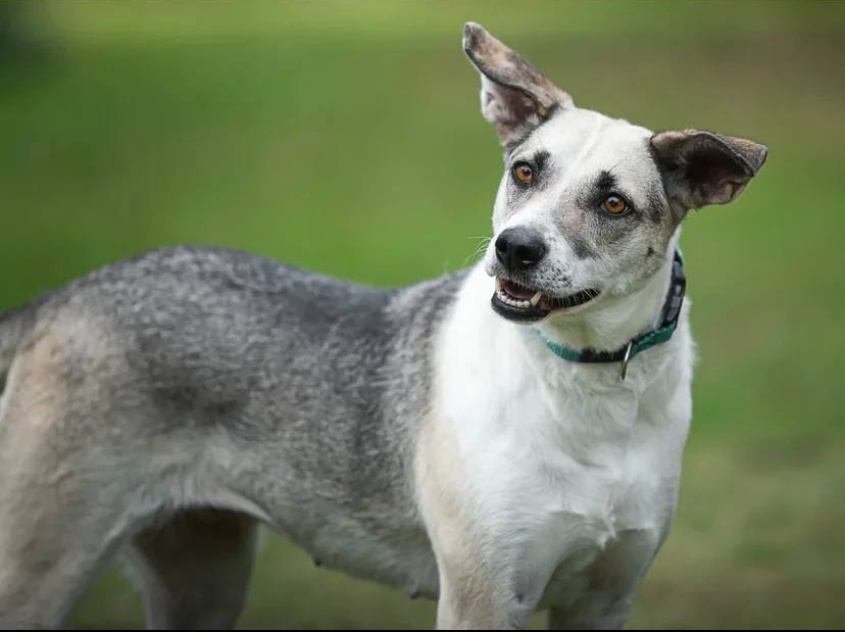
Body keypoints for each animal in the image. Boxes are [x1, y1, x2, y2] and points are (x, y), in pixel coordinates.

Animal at [0, 22, 764, 628]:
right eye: (524, 172)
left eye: (612, 204)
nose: (514, 248)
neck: (588, 386)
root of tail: (63, 298)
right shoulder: (484, 599)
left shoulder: (603, 600)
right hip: (40, 565)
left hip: (202, 572)